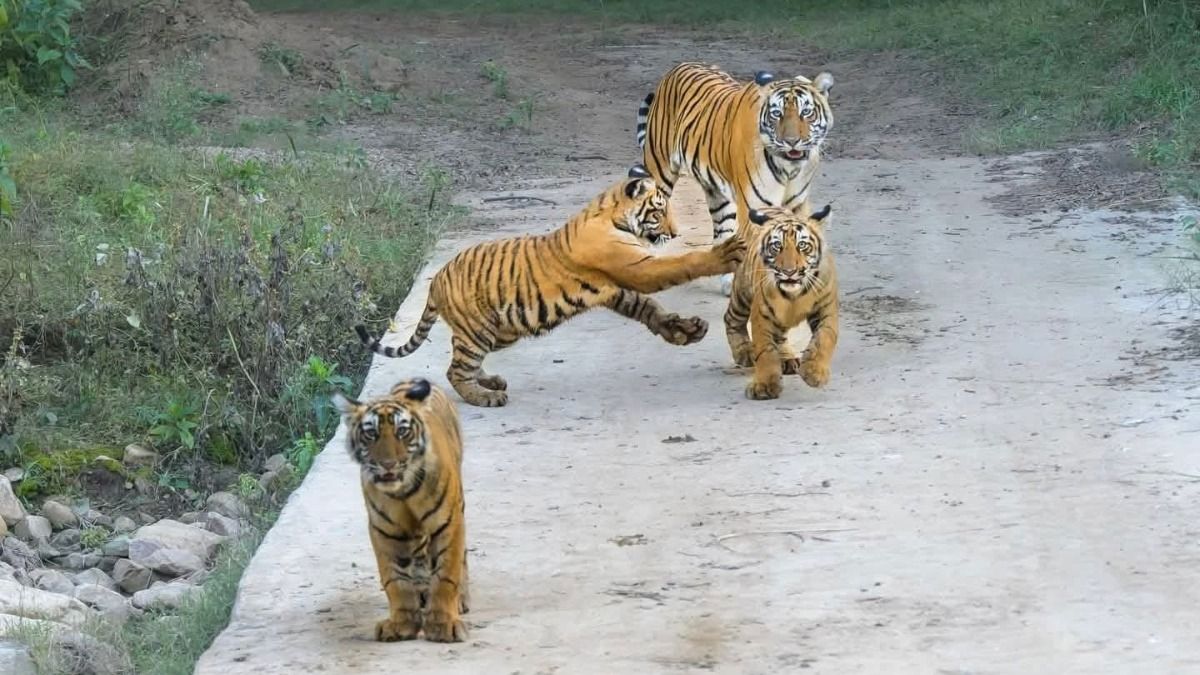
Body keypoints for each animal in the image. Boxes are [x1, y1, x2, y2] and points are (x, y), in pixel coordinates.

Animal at [331, 377, 471, 643]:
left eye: (402, 431)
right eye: (371, 434)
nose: (388, 464)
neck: (403, 492)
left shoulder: (448, 522)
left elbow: (446, 573)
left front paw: (443, 624)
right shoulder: (385, 531)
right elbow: (395, 580)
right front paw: (402, 624)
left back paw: (460, 599)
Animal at [354, 164, 746, 408]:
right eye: (659, 210)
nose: (676, 233)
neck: (610, 213)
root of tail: (436, 280)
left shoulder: (615, 288)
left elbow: (648, 309)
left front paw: (683, 330)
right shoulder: (635, 268)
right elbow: (681, 264)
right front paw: (725, 252)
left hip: (498, 331)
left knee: (460, 358)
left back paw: (491, 381)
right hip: (479, 329)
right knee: (455, 369)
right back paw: (486, 397)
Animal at [636, 62, 835, 297]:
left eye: (806, 112)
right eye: (777, 114)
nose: (792, 141)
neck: (787, 168)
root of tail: (678, 66)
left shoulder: (797, 205)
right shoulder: (755, 208)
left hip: (719, 198)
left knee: (723, 235)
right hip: (660, 171)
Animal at [724, 204, 838, 401]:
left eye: (802, 245)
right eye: (777, 246)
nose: (789, 271)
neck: (795, 295)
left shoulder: (826, 309)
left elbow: (823, 339)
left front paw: (814, 372)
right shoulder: (762, 316)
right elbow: (765, 352)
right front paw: (764, 386)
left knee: (780, 335)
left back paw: (787, 359)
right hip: (742, 291)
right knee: (731, 318)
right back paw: (744, 352)